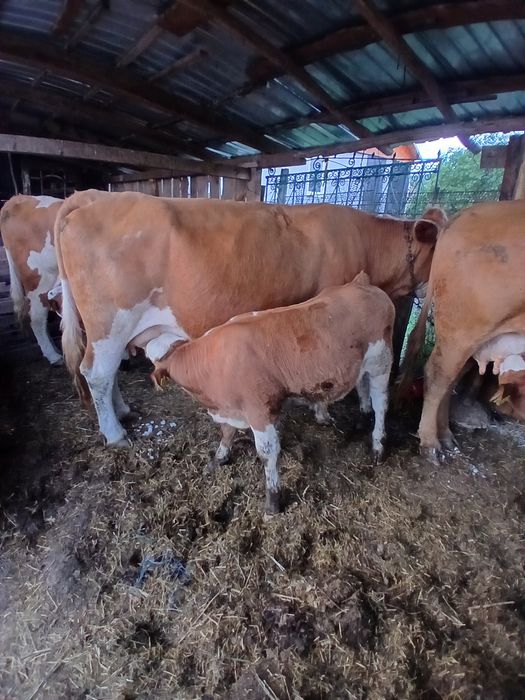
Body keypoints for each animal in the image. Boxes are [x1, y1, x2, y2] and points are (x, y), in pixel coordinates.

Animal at [55, 189, 446, 446]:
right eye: (441, 250)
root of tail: (92, 197)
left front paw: (362, 405)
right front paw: (325, 411)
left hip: (109, 329)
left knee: (105, 374)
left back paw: (122, 411)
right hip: (110, 321)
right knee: (97, 373)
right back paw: (115, 434)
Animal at [152, 272, 394, 514]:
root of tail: (360, 283)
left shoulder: (259, 410)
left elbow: (267, 453)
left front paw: (273, 501)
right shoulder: (230, 409)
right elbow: (227, 432)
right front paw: (218, 458)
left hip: (381, 362)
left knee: (381, 403)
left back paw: (378, 445)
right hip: (361, 364)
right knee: (362, 386)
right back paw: (363, 417)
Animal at [401, 199, 525, 460]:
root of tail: (457, 218)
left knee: (450, 379)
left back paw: (446, 437)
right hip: (463, 329)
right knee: (438, 375)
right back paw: (431, 443)